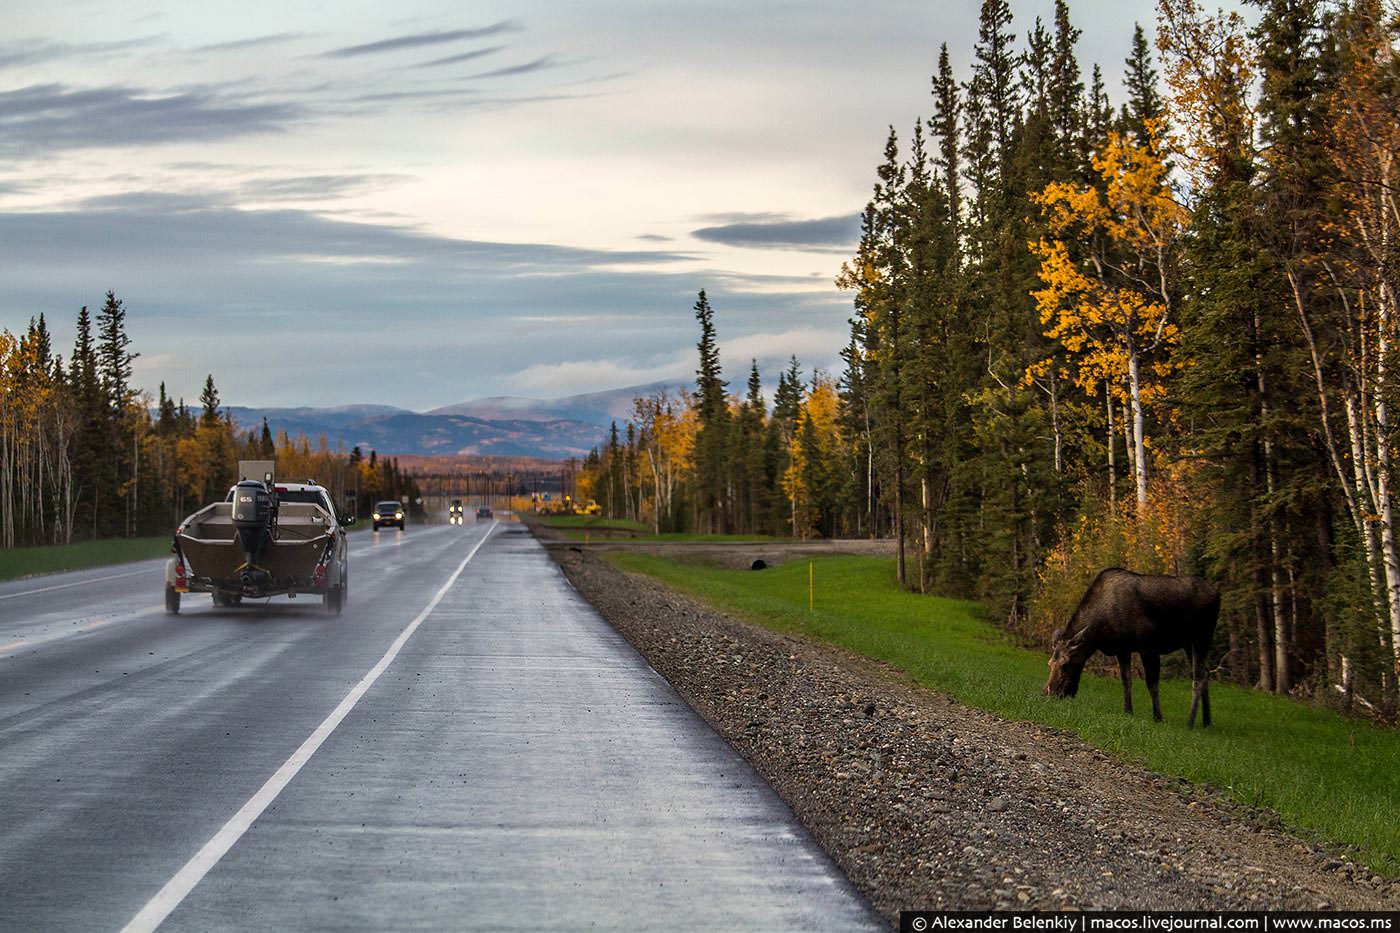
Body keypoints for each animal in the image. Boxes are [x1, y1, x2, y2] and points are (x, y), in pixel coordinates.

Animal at [1047, 565, 1220, 728]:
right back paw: (1207, 721)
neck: (1099, 632)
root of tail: (1218, 595)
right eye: (1050, 663)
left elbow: (1152, 684)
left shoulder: (1148, 647)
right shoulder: (1123, 650)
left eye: (1065, 664)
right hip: (1188, 644)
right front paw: (1128, 711)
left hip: (1202, 638)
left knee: (1199, 676)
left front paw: (1158, 717)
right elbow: (1126, 681)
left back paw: (1190, 722)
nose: (1049, 692)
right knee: (1206, 673)